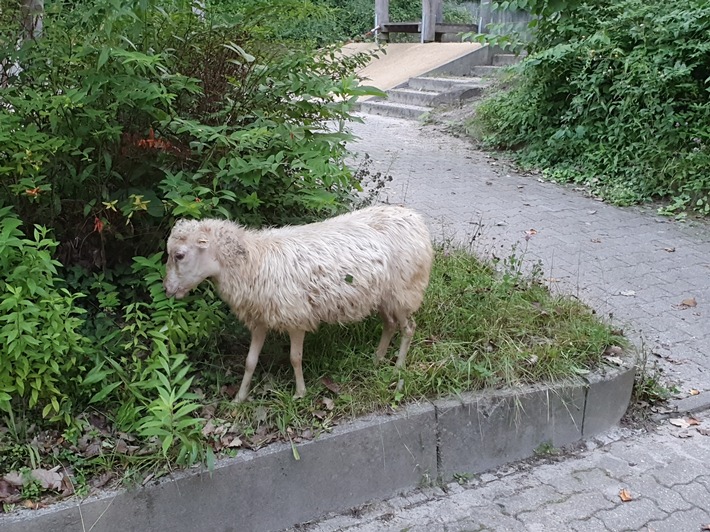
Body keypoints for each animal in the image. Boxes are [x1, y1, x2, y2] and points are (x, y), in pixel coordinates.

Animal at [164, 205, 436, 404]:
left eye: (179, 255)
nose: (167, 289)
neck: (252, 261)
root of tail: (415, 218)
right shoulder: (260, 318)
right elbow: (250, 361)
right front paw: (239, 399)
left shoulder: (295, 316)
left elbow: (295, 358)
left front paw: (299, 394)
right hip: (384, 296)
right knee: (389, 324)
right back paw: (377, 359)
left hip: (404, 292)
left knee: (408, 328)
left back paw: (398, 368)